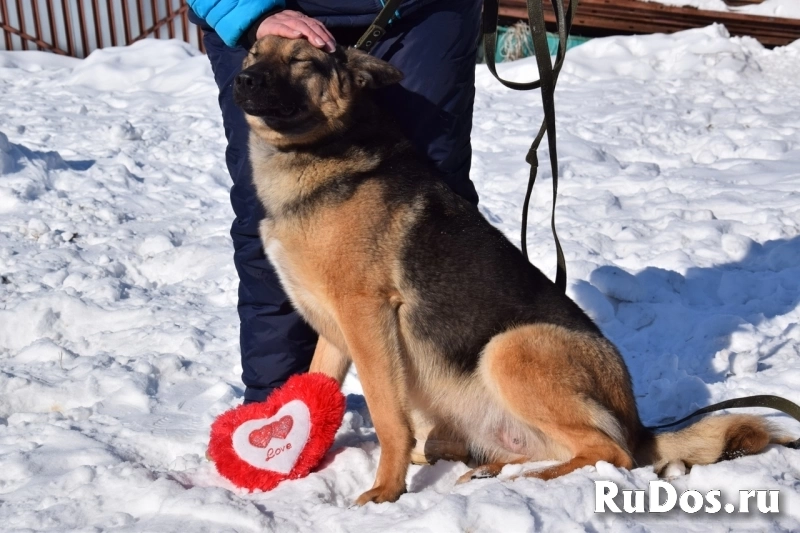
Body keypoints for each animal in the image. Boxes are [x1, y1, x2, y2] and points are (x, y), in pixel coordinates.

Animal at [233, 36, 792, 502]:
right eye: (255, 52)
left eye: (302, 61)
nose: (244, 80)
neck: (318, 154)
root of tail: (638, 422)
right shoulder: (335, 331)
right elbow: (315, 386)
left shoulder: (366, 317)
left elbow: (390, 419)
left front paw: (386, 491)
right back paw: (486, 469)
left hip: (510, 349)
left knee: (613, 453)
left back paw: (531, 480)